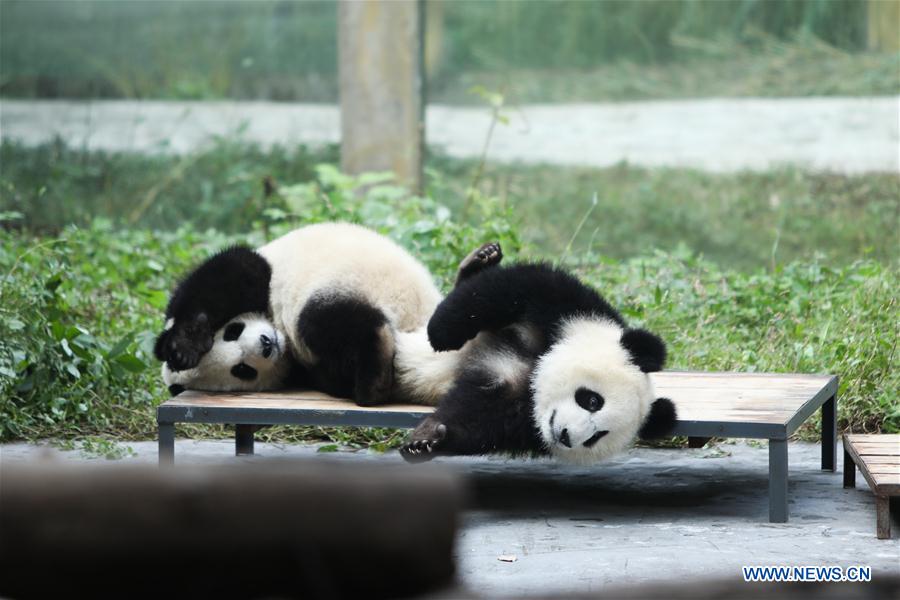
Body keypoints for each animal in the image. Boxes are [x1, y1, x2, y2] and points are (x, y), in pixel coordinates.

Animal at [155, 222, 443, 406]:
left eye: (232, 332)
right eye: (242, 370)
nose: (266, 344)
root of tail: (415, 320)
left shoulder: (261, 273)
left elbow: (228, 277)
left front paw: (182, 347)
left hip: (348, 283)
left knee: (321, 322)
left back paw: (372, 382)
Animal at [399, 261, 677, 465]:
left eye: (597, 436)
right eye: (593, 401)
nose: (565, 436)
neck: (534, 377)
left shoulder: (518, 420)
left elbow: (479, 424)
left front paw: (428, 441)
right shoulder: (571, 312)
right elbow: (512, 288)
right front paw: (441, 334)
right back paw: (480, 260)